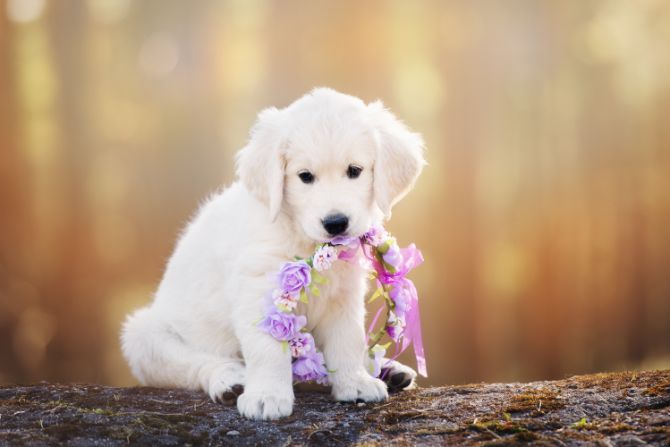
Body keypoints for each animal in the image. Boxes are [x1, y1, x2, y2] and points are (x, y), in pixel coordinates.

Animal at [121, 87, 426, 420]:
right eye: (305, 176)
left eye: (355, 171)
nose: (335, 223)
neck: (306, 242)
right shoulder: (258, 289)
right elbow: (267, 349)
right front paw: (266, 395)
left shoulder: (344, 295)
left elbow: (348, 339)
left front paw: (355, 383)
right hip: (144, 336)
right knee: (195, 363)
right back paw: (230, 379)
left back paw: (388, 370)